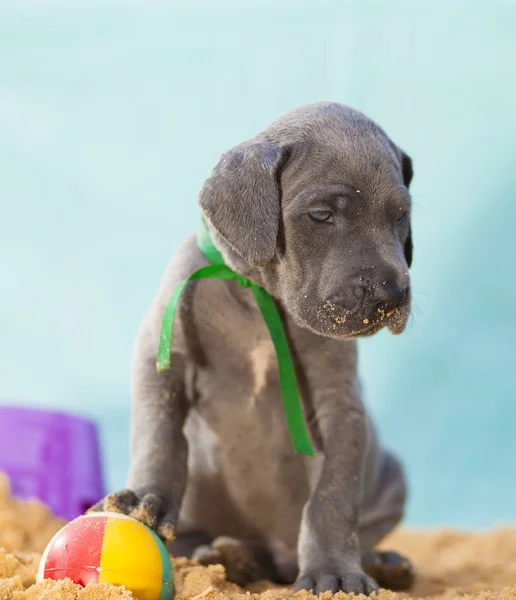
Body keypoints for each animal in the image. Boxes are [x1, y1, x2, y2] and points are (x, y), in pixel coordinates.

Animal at [91, 103, 416, 596]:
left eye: (400, 218)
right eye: (322, 215)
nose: (392, 295)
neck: (261, 297)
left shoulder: (339, 407)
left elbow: (332, 497)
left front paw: (335, 571)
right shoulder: (161, 357)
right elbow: (159, 438)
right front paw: (145, 499)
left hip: (393, 472)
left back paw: (381, 561)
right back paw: (226, 555)